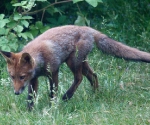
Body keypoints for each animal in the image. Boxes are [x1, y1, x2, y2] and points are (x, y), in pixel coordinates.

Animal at [0, 25, 150, 110]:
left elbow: (52, 92)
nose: (16, 93)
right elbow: (31, 97)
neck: (40, 59)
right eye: (12, 77)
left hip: (73, 62)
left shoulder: (53, 72)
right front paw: (29, 112)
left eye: (22, 77)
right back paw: (96, 95)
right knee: (93, 75)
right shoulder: (33, 79)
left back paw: (68, 96)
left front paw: (52, 107)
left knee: (79, 78)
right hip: (80, 62)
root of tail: (86, 28)